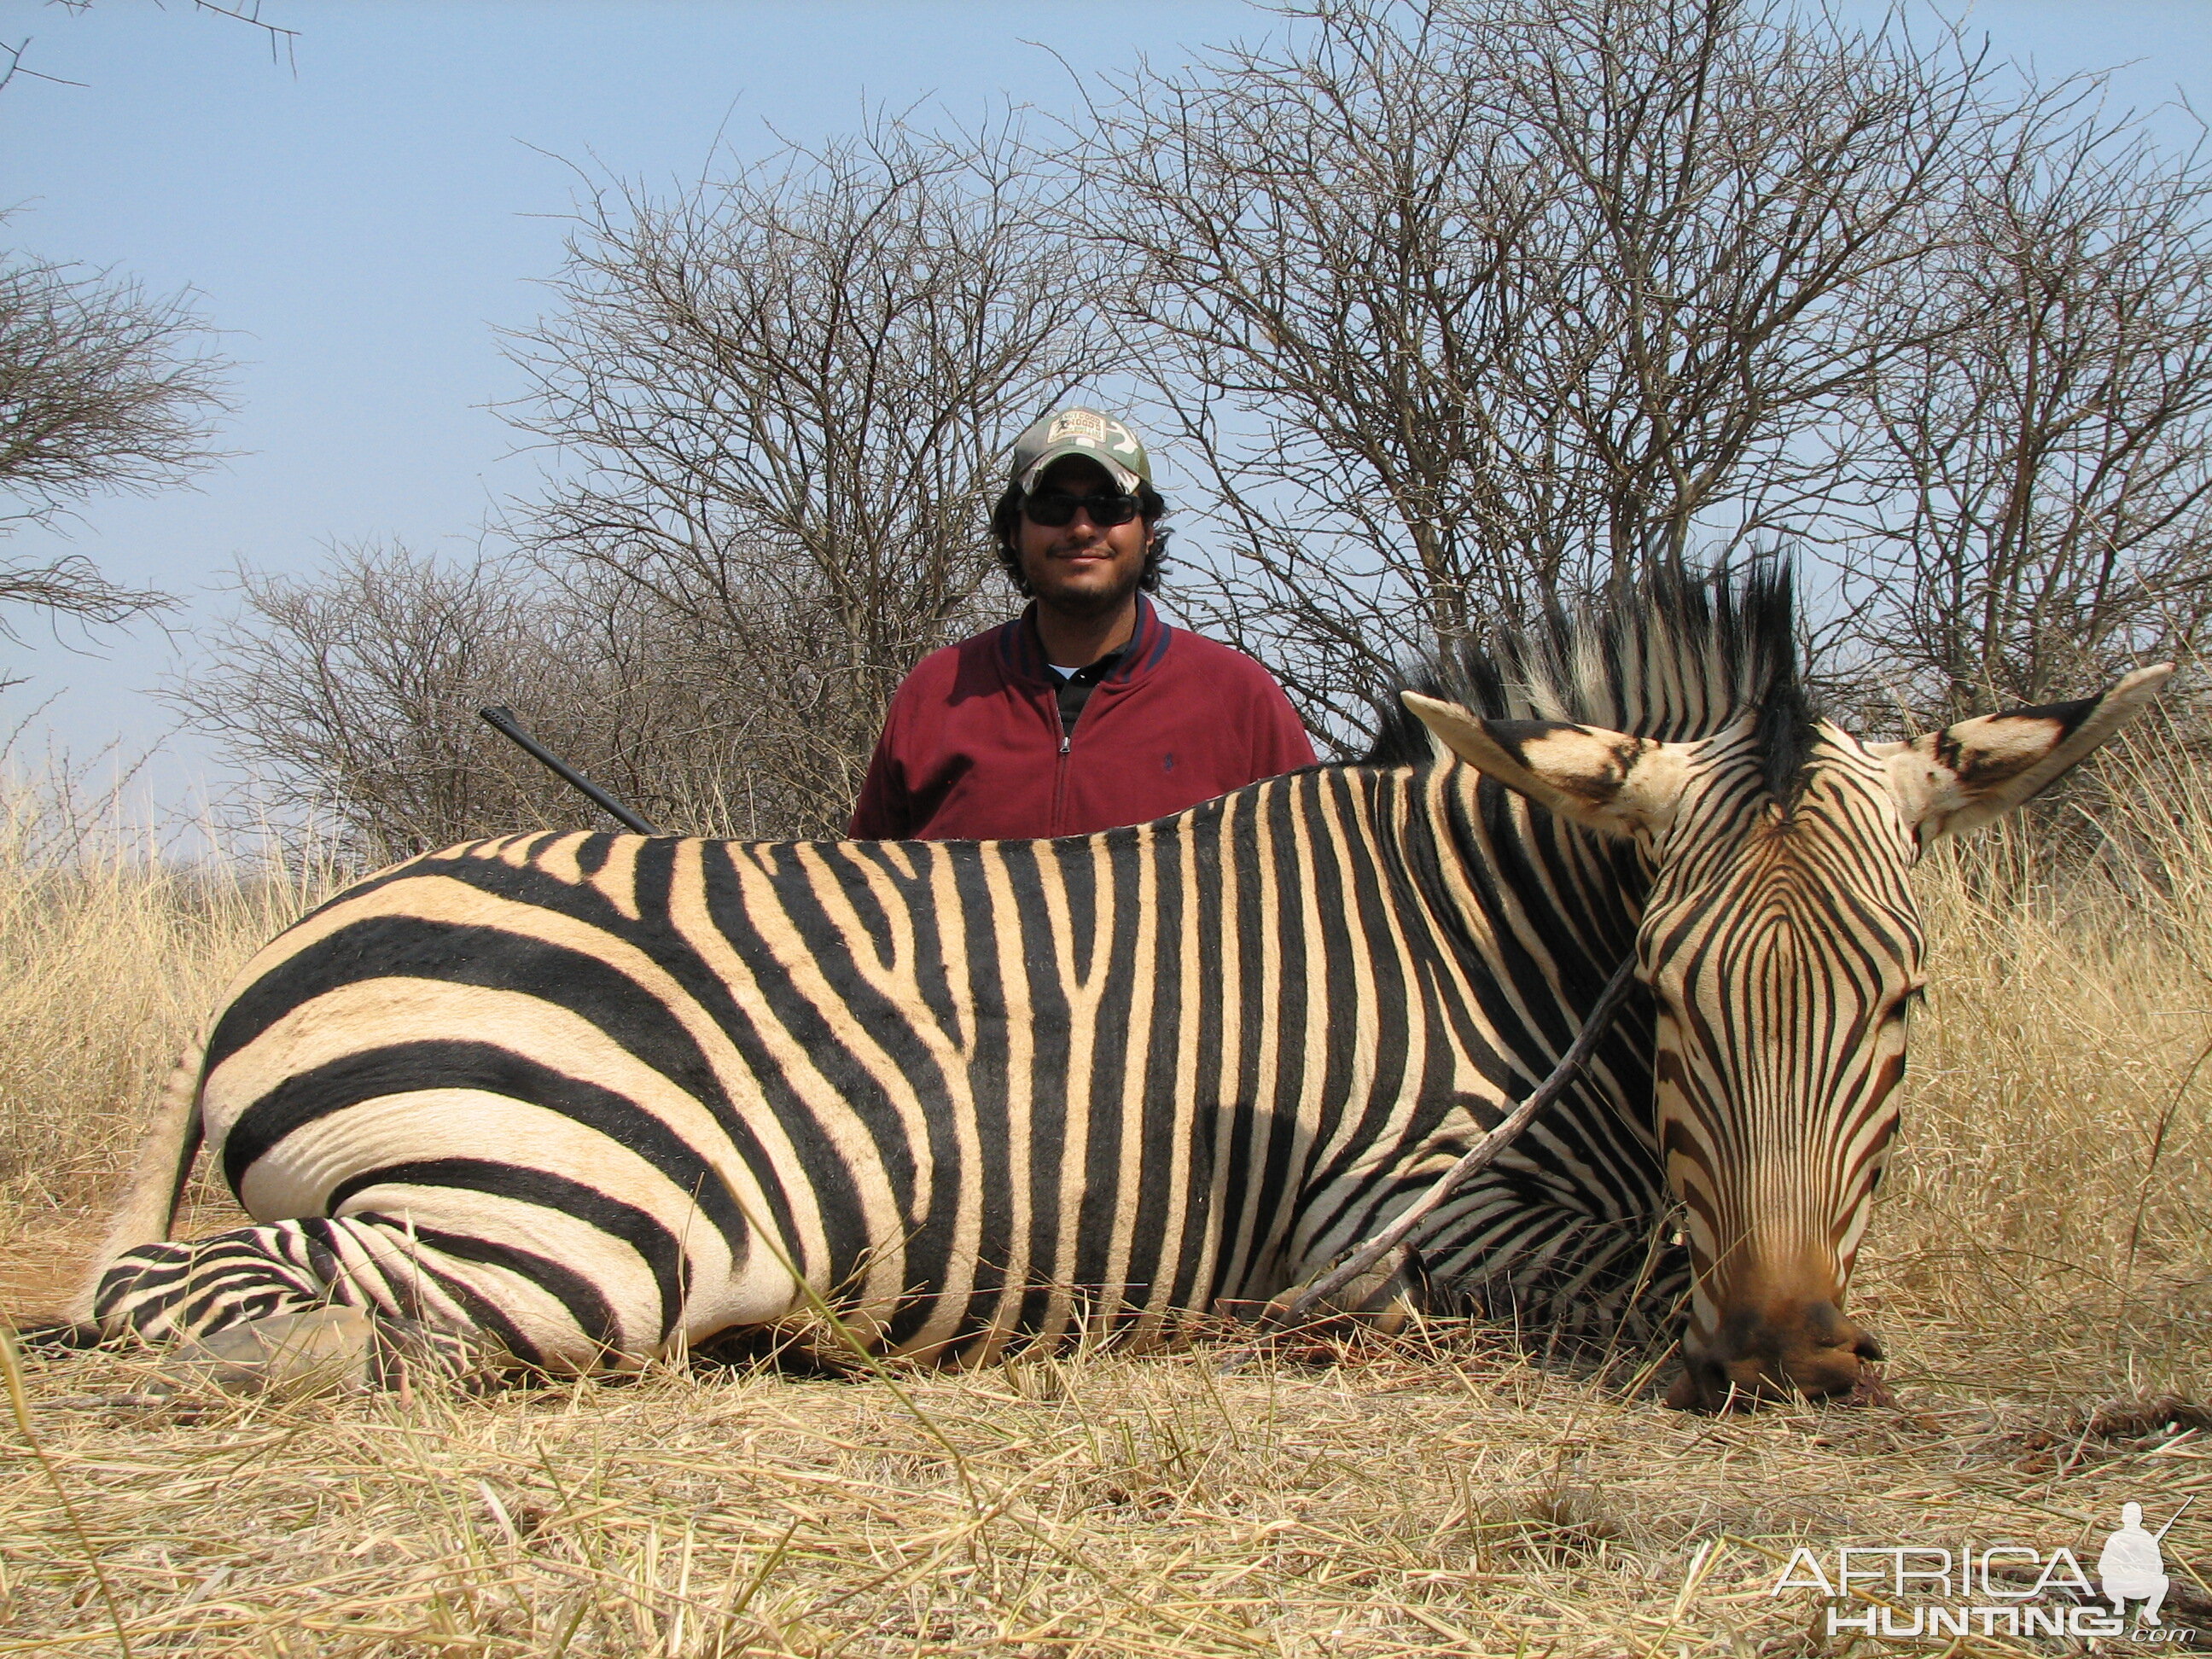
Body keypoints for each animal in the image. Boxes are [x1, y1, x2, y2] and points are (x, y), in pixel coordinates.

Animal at [64, 566, 2158, 1406]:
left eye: (1902, 1006)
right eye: (1664, 998)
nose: (1794, 1358)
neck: (1500, 935)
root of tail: (277, 952)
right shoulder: (1400, 1207)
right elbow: (1611, 1272)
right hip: (577, 1219)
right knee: (184, 1294)